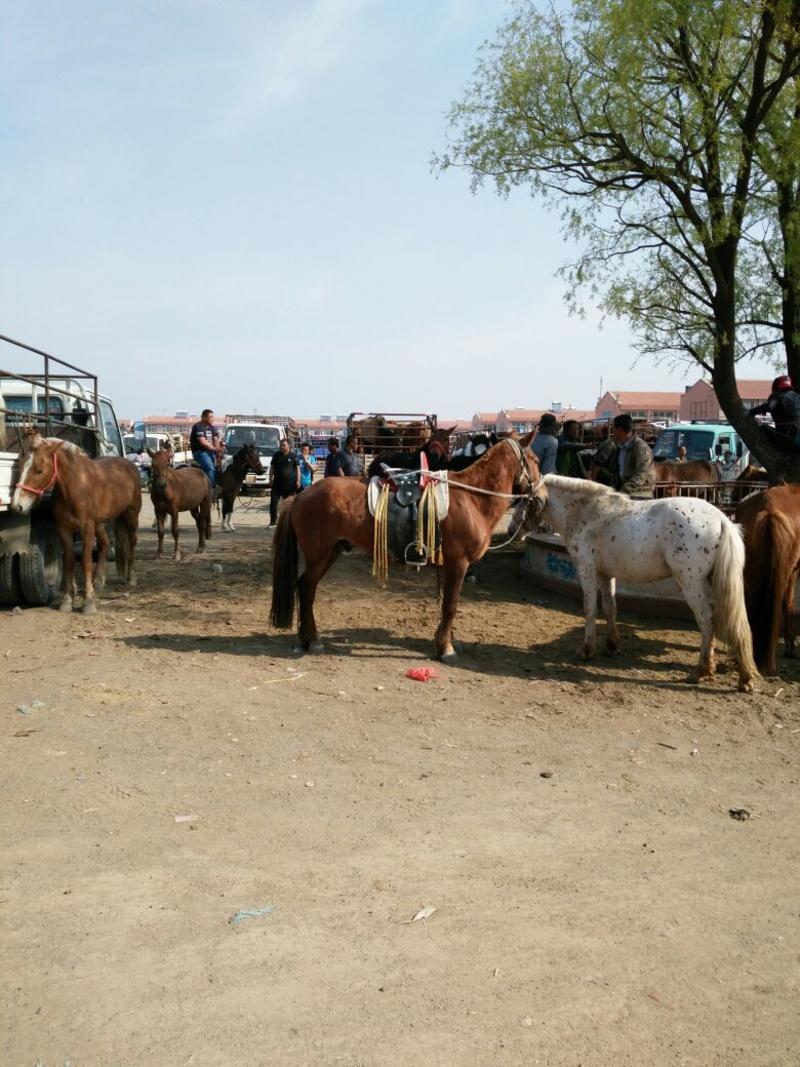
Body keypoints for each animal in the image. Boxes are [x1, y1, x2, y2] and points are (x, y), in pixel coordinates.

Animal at [12, 433, 140, 614]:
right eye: (21, 465)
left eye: (40, 470)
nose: (17, 505)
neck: (76, 487)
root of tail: (129, 464)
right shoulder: (64, 529)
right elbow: (69, 561)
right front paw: (67, 600)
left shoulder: (87, 528)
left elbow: (85, 561)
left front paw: (88, 602)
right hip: (99, 523)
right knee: (104, 543)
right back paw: (98, 581)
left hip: (131, 515)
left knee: (132, 541)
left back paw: (131, 577)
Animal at [273, 431, 550, 657]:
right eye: (536, 461)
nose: (543, 498)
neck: (471, 497)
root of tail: (301, 496)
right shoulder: (458, 564)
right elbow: (451, 604)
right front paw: (446, 647)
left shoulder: (448, 565)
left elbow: (446, 604)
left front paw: (445, 639)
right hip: (319, 554)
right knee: (307, 588)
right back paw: (313, 640)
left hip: (333, 550)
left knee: (306, 587)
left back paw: (308, 638)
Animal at [516, 475, 759, 691]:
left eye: (524, 500)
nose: (513, 530)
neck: (588, 512)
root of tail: (721, 519)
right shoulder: (605, 575)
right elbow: (610, 608)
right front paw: (612, 645)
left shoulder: (587, 571)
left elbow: (590, 609)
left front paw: (586, 650)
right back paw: (741, 677)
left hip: (691, 583)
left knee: (707, 620)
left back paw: (702, 671)